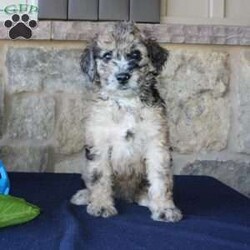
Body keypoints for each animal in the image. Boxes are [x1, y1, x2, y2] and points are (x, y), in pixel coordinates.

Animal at [70, 22, 182, 222]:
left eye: (136, 54)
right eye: (107, 56)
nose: (122, 76)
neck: (126, 103)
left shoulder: (157, 142)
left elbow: (161, 179)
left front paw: (165, 209)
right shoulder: (99, 142)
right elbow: (99, 177)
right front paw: (101, 205)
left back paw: (146, 198)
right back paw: (85, 196)